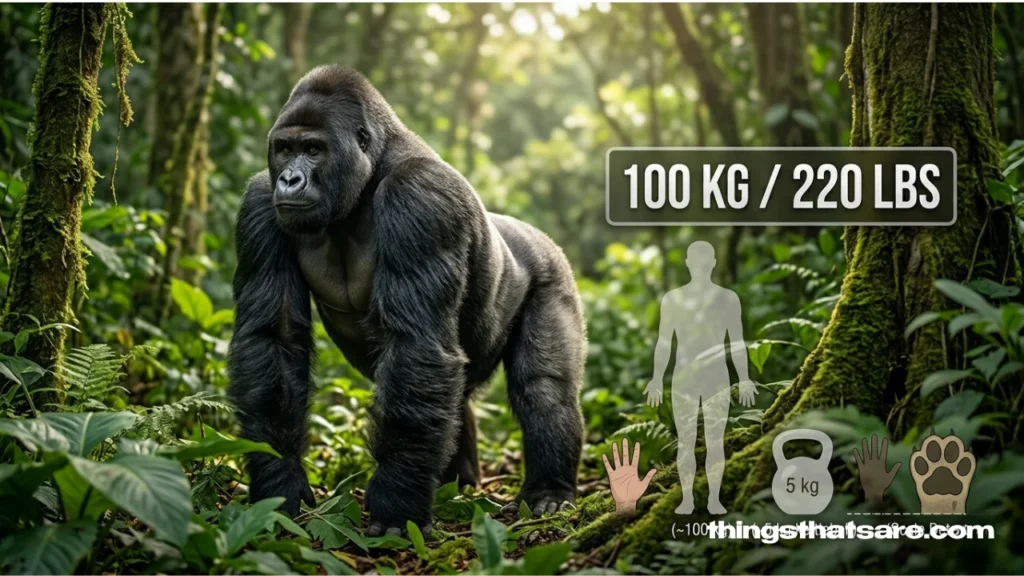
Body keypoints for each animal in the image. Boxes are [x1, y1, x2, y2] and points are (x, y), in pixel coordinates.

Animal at [227, 65, 585, 535]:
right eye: (285, 150)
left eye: (314, 150)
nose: (289, 179)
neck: (368, 175)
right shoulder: (258, 203)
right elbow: (275, 338)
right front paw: (279, 482)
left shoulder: (420, 199)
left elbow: (417, 345)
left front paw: (396, 504)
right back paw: (459, 480)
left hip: (553, 273)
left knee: (543, 385)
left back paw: (549, 489)